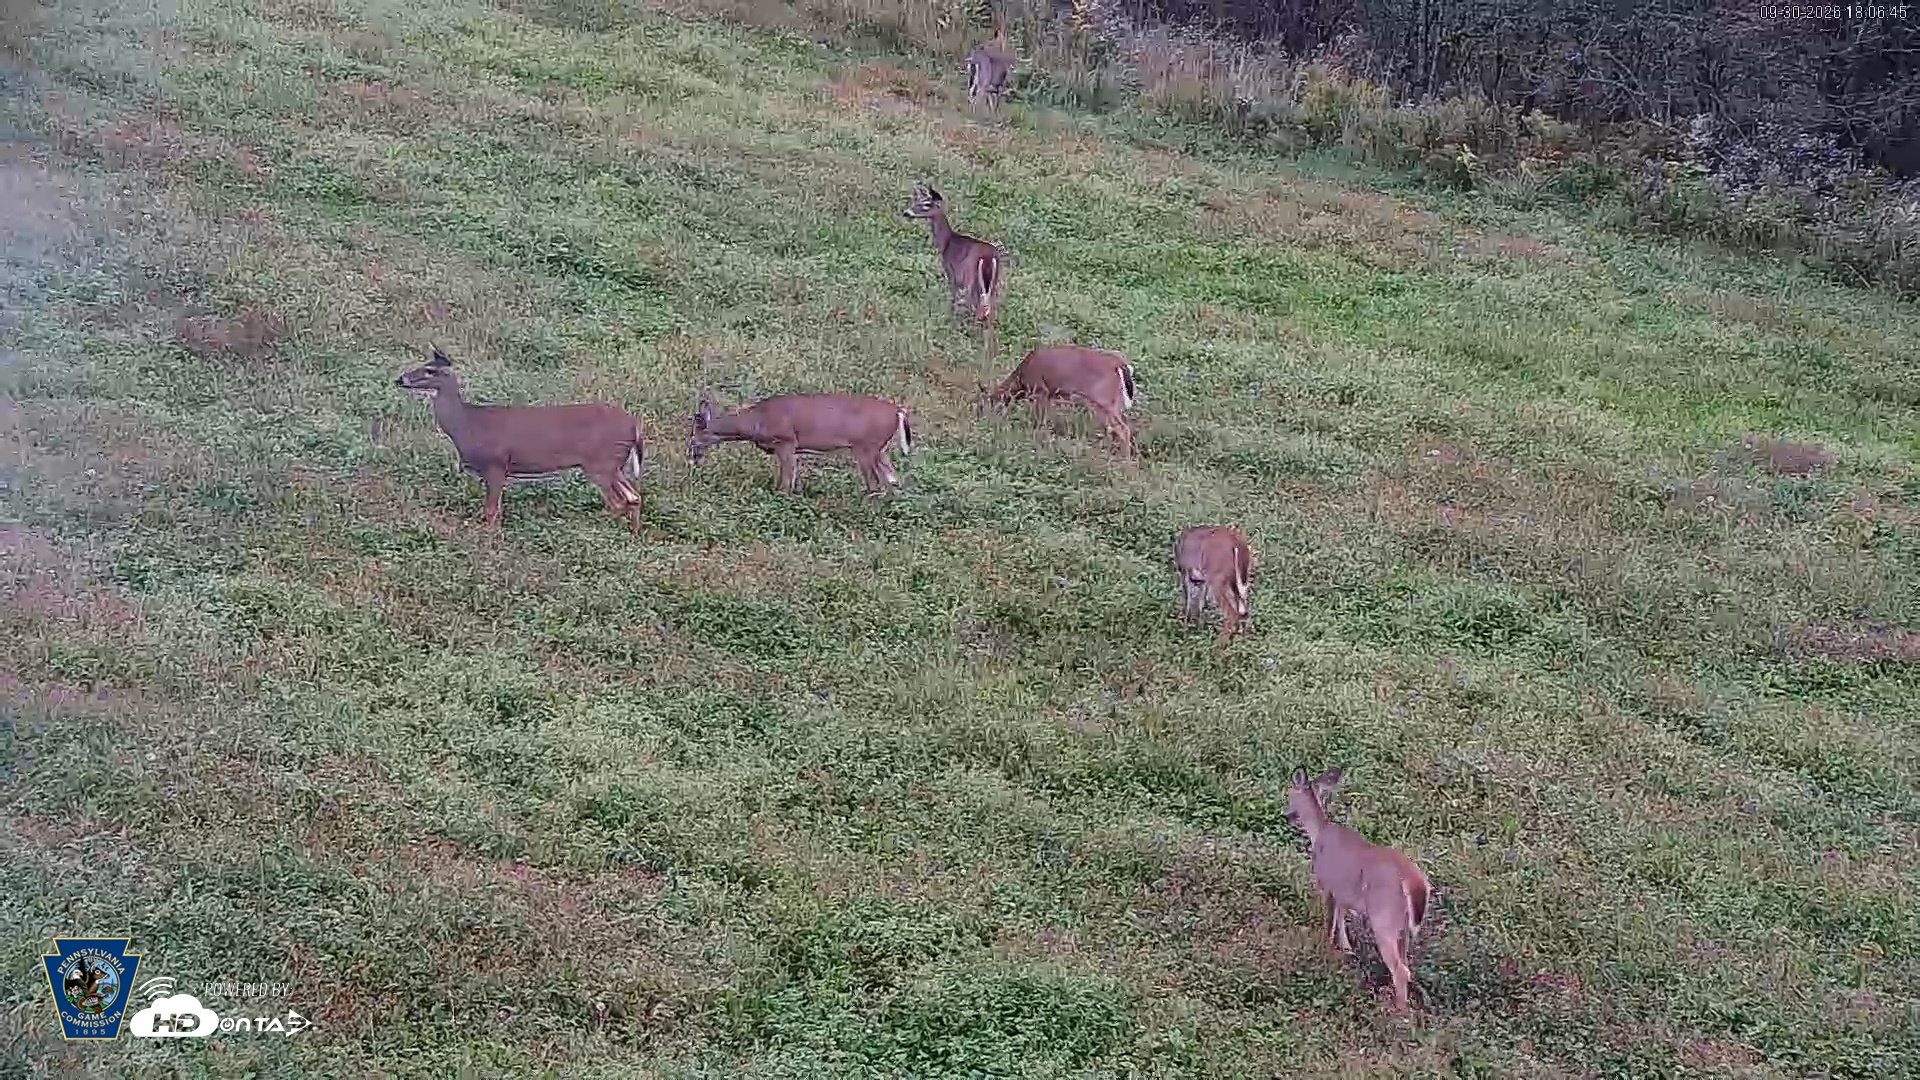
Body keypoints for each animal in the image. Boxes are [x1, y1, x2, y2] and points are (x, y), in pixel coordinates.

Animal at [392, 347, 646, 535]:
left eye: (430, 370)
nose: (400, 379)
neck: (466, 425)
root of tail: (634, 426)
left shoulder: (495, 464)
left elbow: (491, 511)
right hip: (613, 464)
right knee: (634, 497)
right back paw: (633, 535)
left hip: (600, 462)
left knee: (618, 502)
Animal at [687, 391, 912, 496]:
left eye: (692, 438)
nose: (691, 458)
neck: (756, 421)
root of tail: (898, 412)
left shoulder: (786, 441)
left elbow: (786, 482)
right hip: (879, 449)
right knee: (893, 480)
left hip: (866, 447)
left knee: (876, 484)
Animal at [902, 182, 1004, 340]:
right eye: (916, 200)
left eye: (926, 204)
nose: (906, 213)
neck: (946, 242)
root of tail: (988, 257)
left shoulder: (951, 273)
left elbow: (953, 300)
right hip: (993, 283)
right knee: (989, 310)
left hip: (972, 279)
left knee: (979, 309)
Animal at [979, 344, 1136, 457]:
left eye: (984, 404)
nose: (984, 419)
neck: (1021, 379)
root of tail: (1120, 365)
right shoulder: (1048, 394)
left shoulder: (1040, 390)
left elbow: (1039, 420)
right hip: (1111, 400)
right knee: (1114, 427)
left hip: (1103, 398)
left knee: (1122, 428)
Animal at [1286, 767, 1432, 1014]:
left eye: (1288, 794)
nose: (1286, 814)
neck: (1319, 832)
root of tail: (1415, 882)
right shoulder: (1343, 892)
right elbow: (1342, 917)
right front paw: (1347, 949)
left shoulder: (1327, 884)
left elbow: (1330, 921)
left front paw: (1326, 950)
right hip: (1403, 926)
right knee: (1405, 963)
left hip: (1384, 918)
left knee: (1400, 969)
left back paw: (1397, 1012)